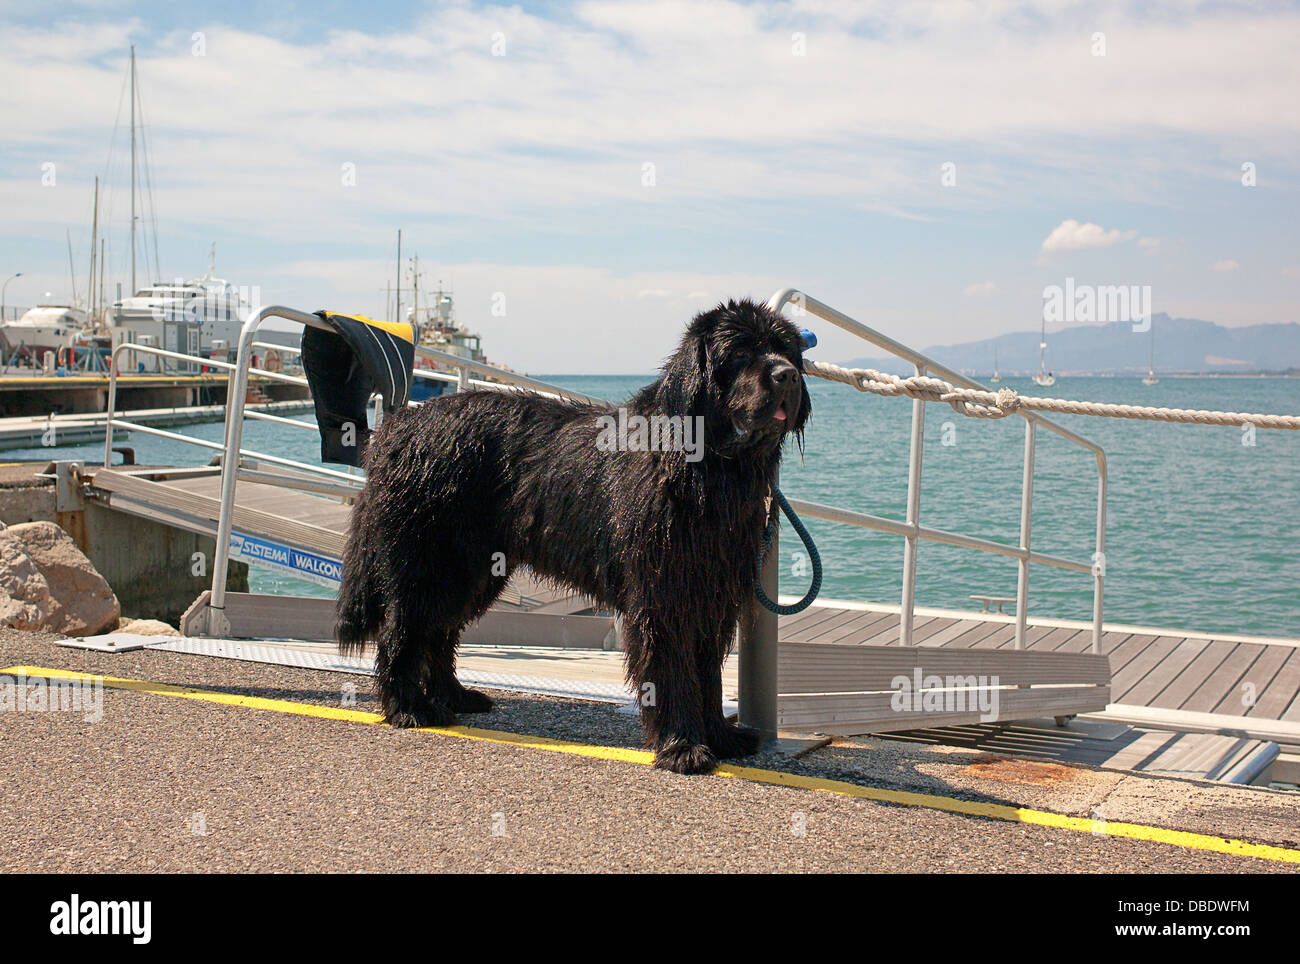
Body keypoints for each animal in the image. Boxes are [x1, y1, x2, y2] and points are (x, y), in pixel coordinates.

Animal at [345, 298, 811, 774]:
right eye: (740, 352)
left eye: (787, 351)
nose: (787, 375)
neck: (701, 464)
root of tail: (399, 428)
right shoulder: (663, 594)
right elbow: (673, 672)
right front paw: (682, 747)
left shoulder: (713, 595)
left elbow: (709, 674)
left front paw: (720, 736)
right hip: (427, 560)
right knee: (402, 631)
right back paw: (408, 708)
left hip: (476, 571)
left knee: (440, 630)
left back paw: (454, 697)